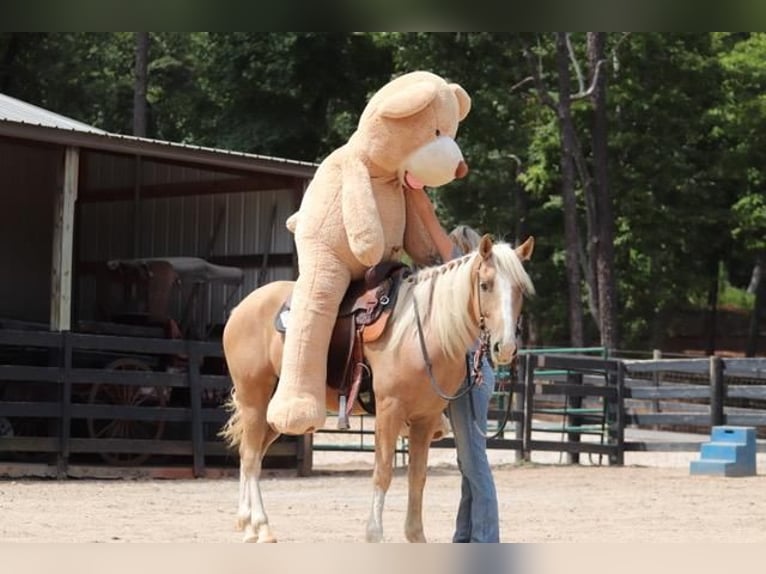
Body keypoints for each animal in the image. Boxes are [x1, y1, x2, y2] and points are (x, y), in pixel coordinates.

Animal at [219, 235, 536, 544]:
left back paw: (247, 525)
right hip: (254, 399)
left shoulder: (425, 418)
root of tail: (240, 308)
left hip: (274, 412)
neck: (421, 334)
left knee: (251, 454)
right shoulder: (389, 409)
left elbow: (417, 476)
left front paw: (415, 535)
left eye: (520, 289)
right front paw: (374, 534)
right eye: (485, 285)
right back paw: (260, 528)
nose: (506, 348)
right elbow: (382, 472)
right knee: (250, 458)